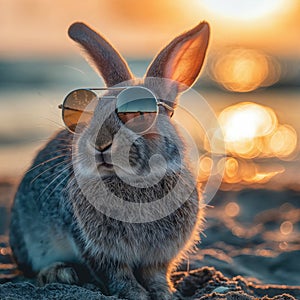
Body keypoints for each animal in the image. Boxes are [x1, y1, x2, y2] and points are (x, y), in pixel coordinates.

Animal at [9, 21, 211, 300]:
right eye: (89, 115)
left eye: (139, 114)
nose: (100, 144)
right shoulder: (96, 249)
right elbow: (117, 275)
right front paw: (136, 294)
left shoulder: (159, 257)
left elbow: (156, 275)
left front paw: (164, 293)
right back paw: (59, 273)